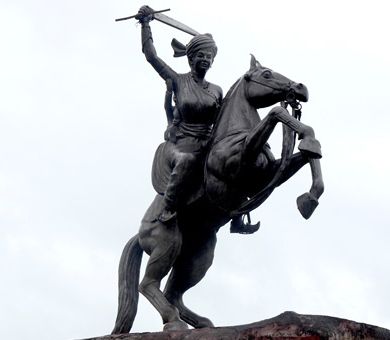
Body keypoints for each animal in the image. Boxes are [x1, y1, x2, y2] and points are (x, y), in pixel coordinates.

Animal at [112, 54, 322, 334]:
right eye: (266, 74)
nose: (300, 88)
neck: (232, 133)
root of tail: (139, 232)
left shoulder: (269, 175)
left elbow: (305, 154)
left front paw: (310, 196)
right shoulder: (239, 162)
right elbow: (276, 113)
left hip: (197, 255)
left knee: (173, 292)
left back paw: (201, 323)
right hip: (167, 244)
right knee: (148, 284)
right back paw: (173, 322)